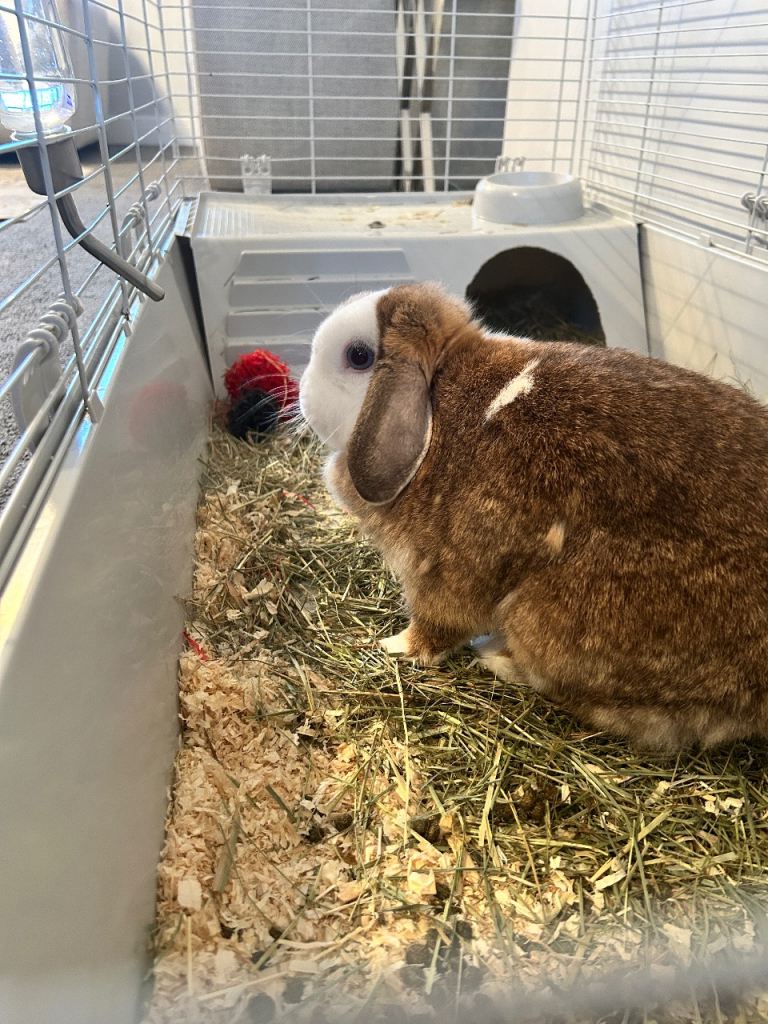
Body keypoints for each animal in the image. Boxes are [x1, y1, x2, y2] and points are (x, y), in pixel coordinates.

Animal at [298, 282, 768, 751]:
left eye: (358, 355)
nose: (301, 389)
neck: (437, 410)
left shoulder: (445, 571)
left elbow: (437, 625)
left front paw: (393, 646)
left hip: (547, 622)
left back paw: (495, 657)